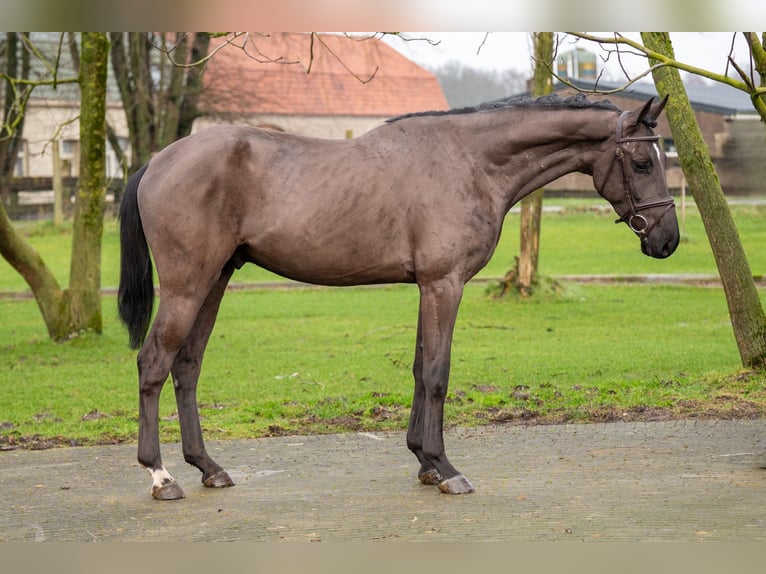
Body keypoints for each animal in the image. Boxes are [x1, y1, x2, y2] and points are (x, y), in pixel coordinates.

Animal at [118, 93, 680, 500]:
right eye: (641, 162)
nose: (667, 241)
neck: (470, 162)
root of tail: (157, 161)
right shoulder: (444, 283)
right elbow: (437, 374)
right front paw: (446, 468)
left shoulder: (426, 286)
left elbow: (418, 368)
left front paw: (424, 463)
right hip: (188, 286)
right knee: (153, 363)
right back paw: (161, 477)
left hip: (215, 281)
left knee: (187, 367)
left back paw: (208, 467)